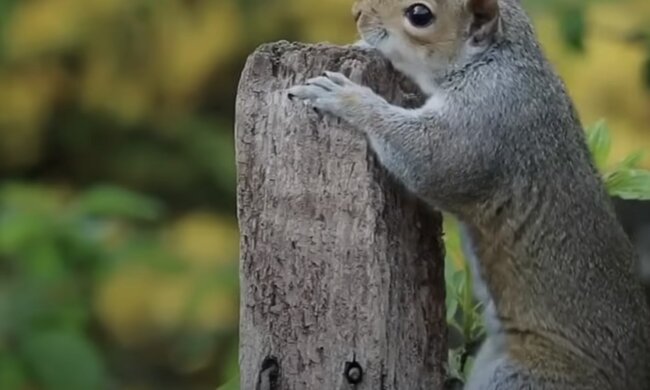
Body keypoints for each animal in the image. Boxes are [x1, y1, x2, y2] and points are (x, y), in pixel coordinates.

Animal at [286, 0, 648, 390]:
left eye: (420, 15)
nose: (357, 13)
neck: (495, 59)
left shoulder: (484, 121)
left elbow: (428, 160)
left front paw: (347, 98)